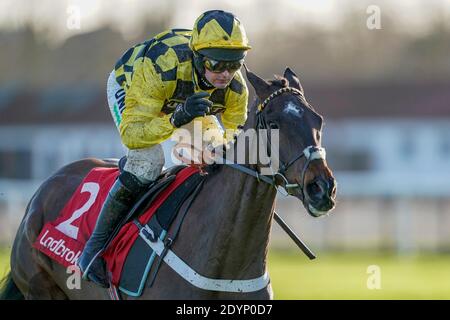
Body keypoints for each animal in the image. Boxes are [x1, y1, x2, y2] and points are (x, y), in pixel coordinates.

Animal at [0, 67, 336, 300]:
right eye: (275, 123)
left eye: (318, 120)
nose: (322, 188)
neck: (226, 263)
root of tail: (44, 188)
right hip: (40, 287)